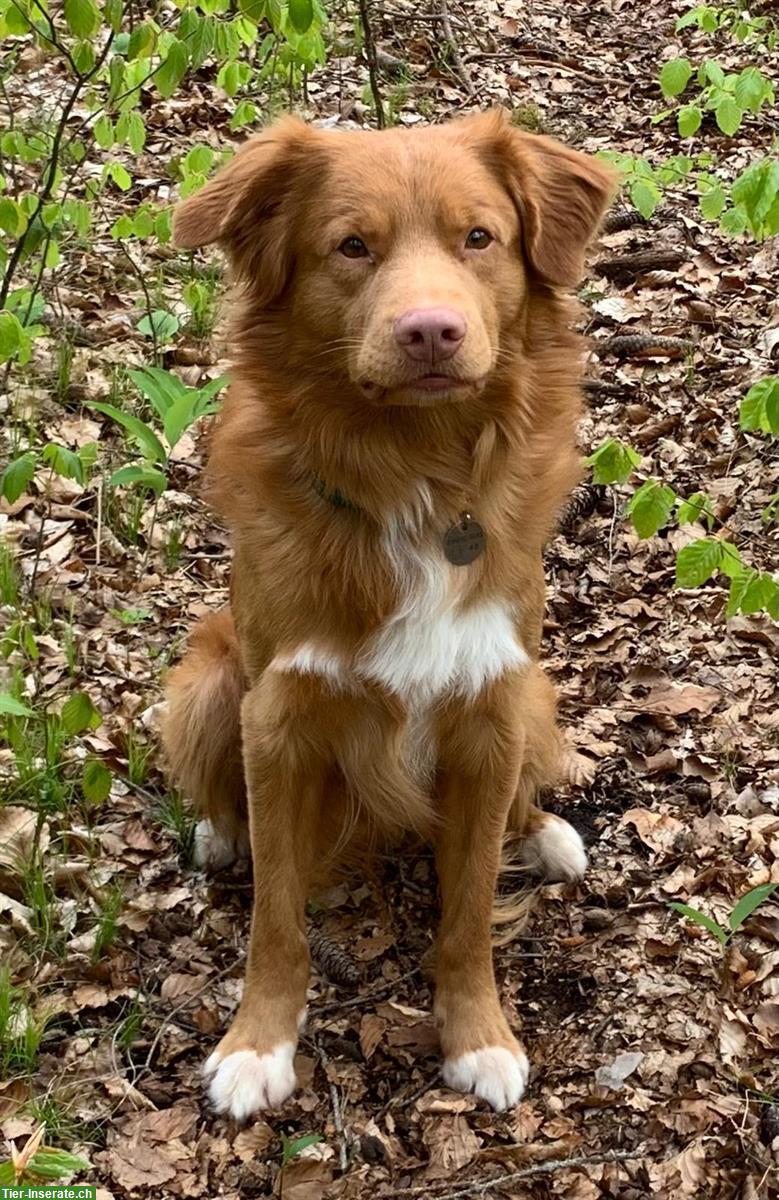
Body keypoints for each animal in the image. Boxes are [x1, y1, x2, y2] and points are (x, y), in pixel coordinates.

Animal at [162, 108, 614, 1118]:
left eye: (478, 238)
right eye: (352, 246)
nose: (431, 331)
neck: (412, 475)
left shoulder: (488, 707)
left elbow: (470, 907)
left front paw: (477, 1034)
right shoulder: (279, 716)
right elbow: (276, 914)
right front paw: (257, 1043)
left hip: (533, 693)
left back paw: (546, 833)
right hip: (207, 675)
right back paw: (221, 831)